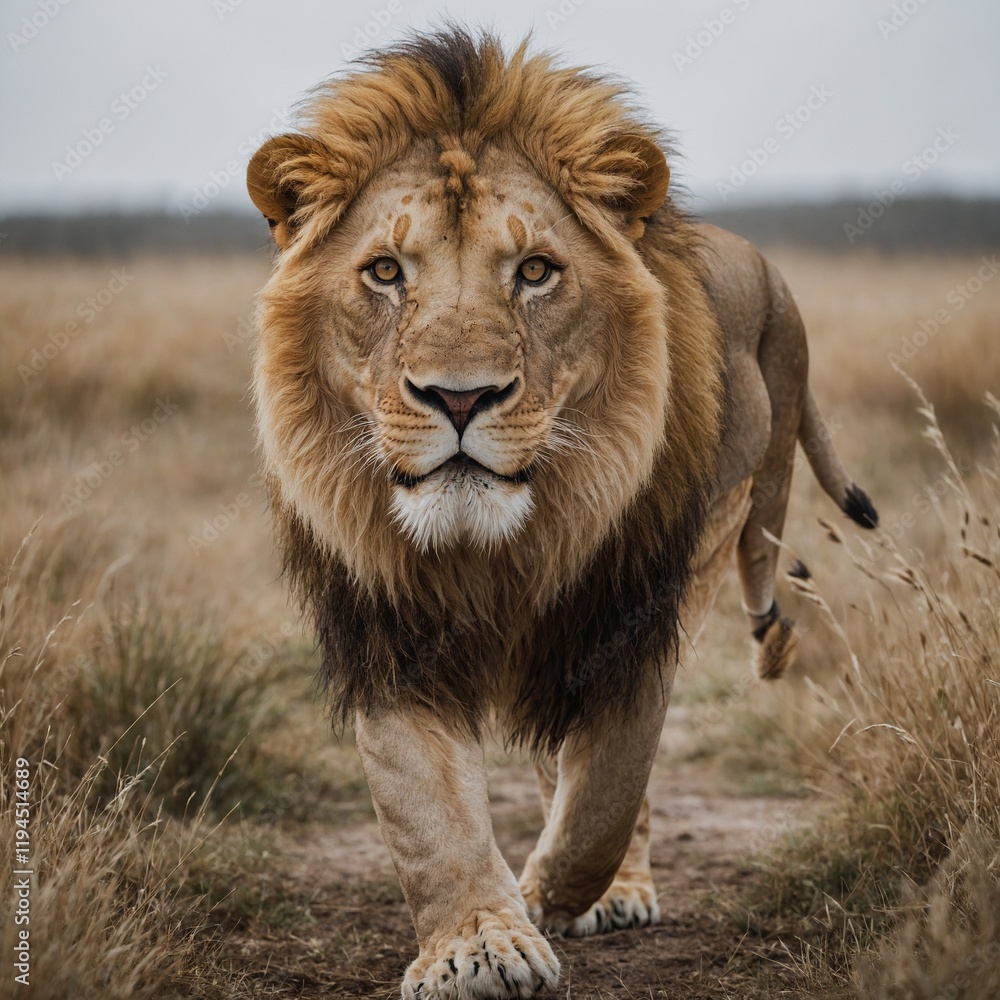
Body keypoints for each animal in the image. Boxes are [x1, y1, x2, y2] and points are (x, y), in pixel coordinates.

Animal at [246, 29, 877, 999]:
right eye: (385, 272)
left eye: (535, 271)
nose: (459, 398)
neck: (499, 545)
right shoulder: (385, 621)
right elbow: (424, 805)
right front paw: (478, 943)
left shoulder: (633, 615)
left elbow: (610, 787)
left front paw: (551, 892)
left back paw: (607, 891)